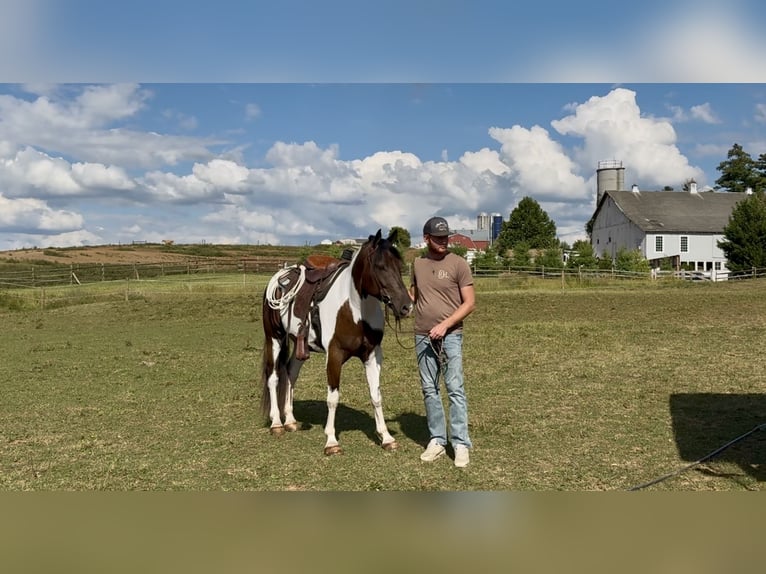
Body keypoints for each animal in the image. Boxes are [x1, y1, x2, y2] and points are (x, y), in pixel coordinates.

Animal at [260, 229, 413, 455]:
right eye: (380, 266)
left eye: (399, 265)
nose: (406, 306)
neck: (355, 309)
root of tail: (281, 275)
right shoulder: (334, 355)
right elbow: (332, 399)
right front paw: (331, 442)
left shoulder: (372, 355)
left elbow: (376, 395)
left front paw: (386, 437)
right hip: (275, 338)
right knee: (273, 377)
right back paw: (277, 424)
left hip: (299, 345)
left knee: (290, 373)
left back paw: (290, 420)